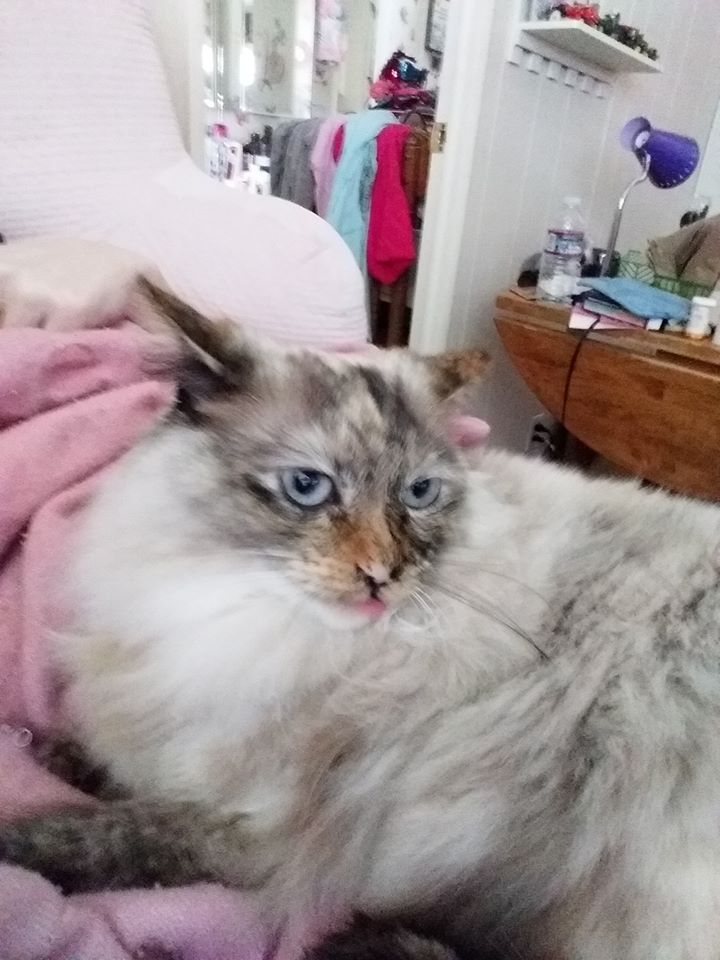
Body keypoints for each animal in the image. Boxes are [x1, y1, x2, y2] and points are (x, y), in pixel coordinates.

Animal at [4, 278, 720, 960]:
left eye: (418, 494)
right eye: (308, 487)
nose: (382, 574)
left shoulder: (255, 826)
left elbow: (105, 833)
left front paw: (22, 841)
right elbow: (113, 763)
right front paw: (54, 754)